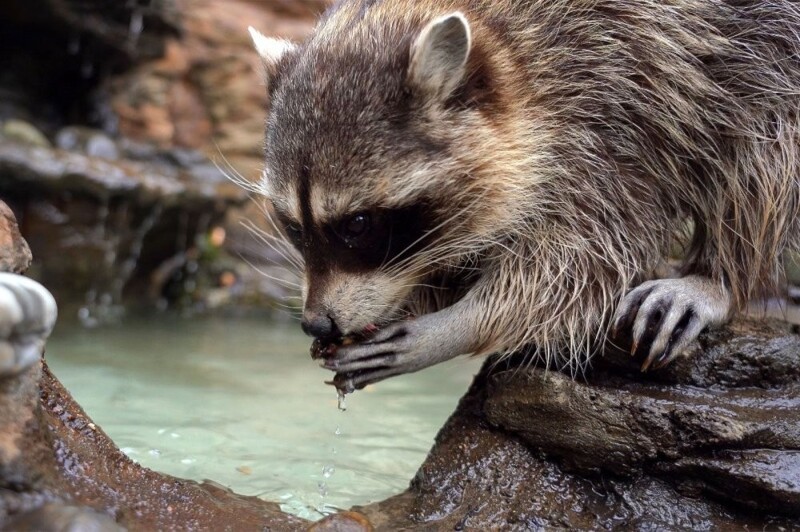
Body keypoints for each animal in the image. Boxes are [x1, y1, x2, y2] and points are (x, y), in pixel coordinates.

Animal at [250, 0, 800, 390]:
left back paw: (718, 275)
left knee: (766, 145)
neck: (507, 42)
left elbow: (584, 261)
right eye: (293, 225)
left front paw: (459, 324)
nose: (316, 324)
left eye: (359, 224)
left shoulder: (619, 102)